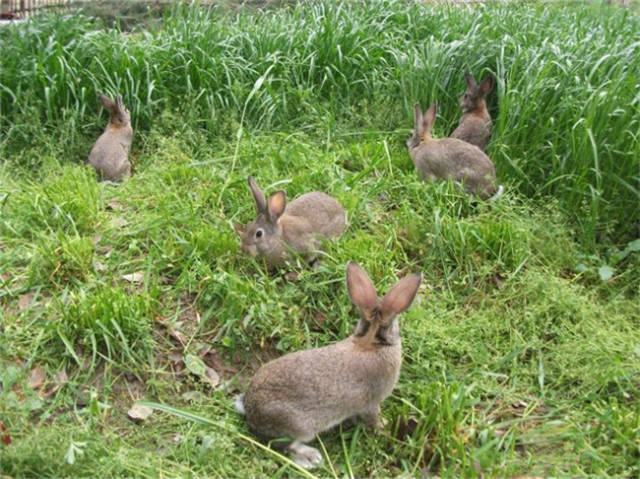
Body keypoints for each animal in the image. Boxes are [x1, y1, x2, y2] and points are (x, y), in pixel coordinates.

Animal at [234, 262, 420, 468]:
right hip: (299, 426)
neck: (371, 341)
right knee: (282, 444)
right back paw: (311, 457)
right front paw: (383, 427)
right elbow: (373, 419)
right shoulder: (372, 402)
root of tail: (251, 410)